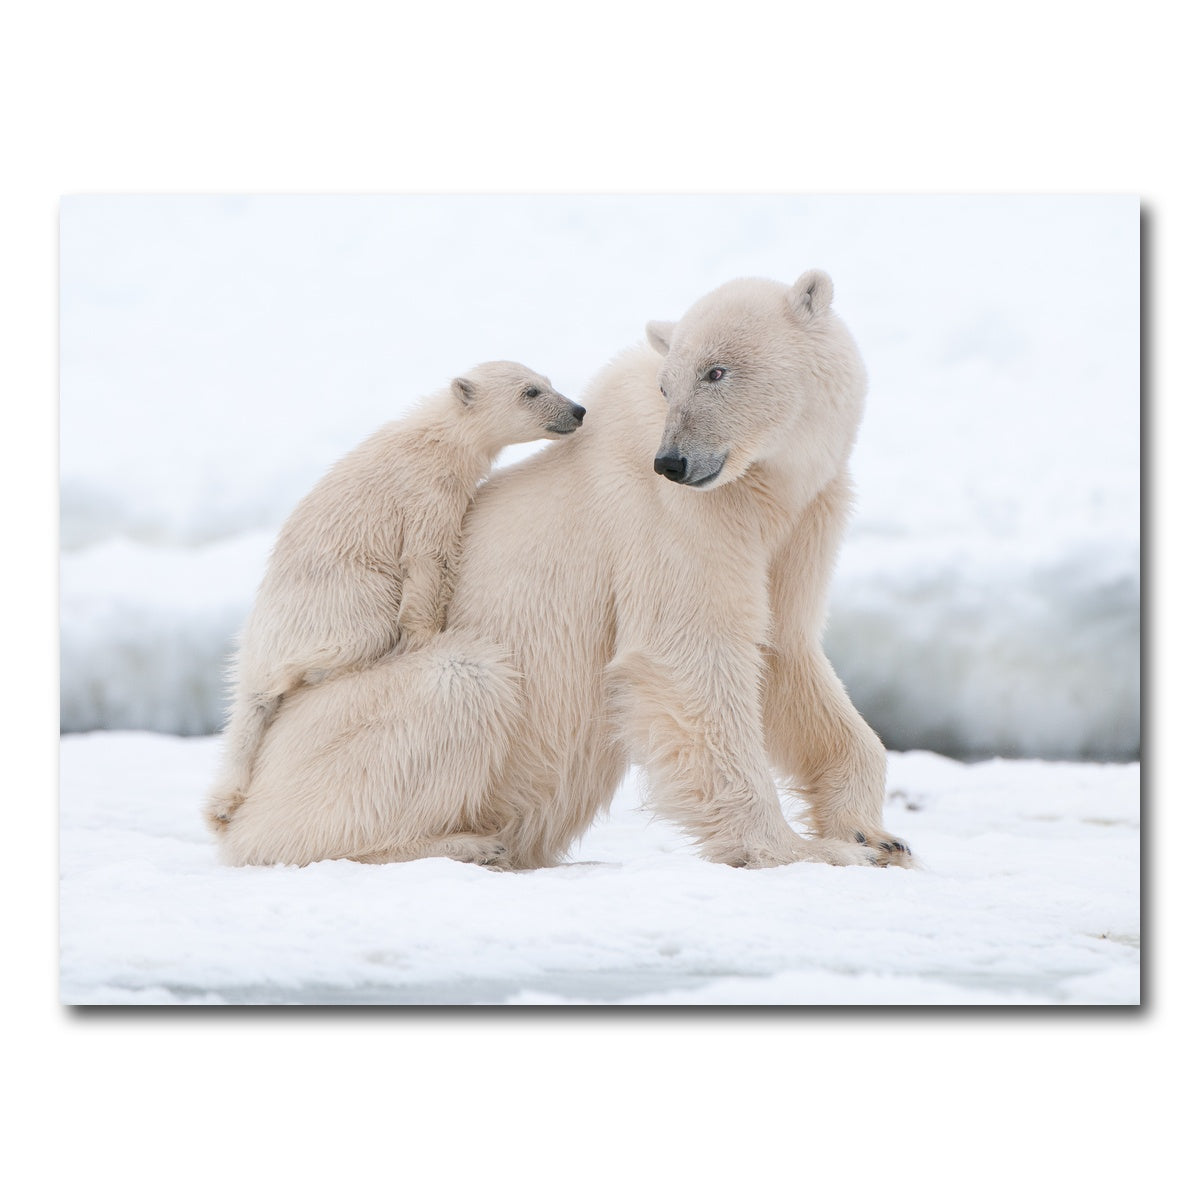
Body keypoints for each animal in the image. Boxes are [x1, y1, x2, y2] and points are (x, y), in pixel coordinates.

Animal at [202, 361, 584, 835]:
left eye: (549, 382)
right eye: (530, 391)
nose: (578, 410)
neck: (437, 437)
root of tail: (256, 648)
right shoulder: (425, 492)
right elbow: (427, 558)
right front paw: (426, 635)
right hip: (339, 600)